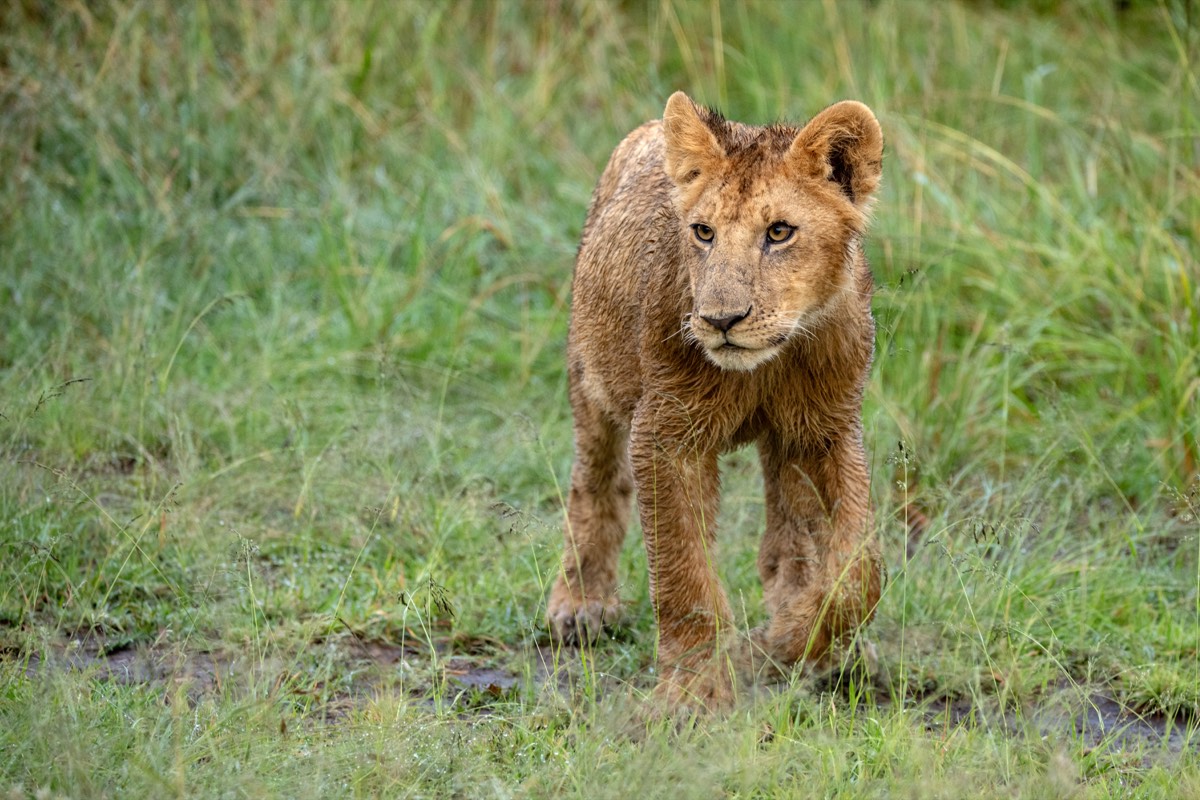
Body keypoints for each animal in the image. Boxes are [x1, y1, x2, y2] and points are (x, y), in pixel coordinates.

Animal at [546, 91, 884, 711]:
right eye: (703, 232)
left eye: (780, 231)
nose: (721, 320)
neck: (770, 363)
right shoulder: (666, 434)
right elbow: (684, 573)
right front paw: (694, 693)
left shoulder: (828, 429)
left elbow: (858, 569)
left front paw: (790, 639)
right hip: (593, 374)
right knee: (595, 480)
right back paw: (581, 606)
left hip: (785, 442)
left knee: (788, 538)